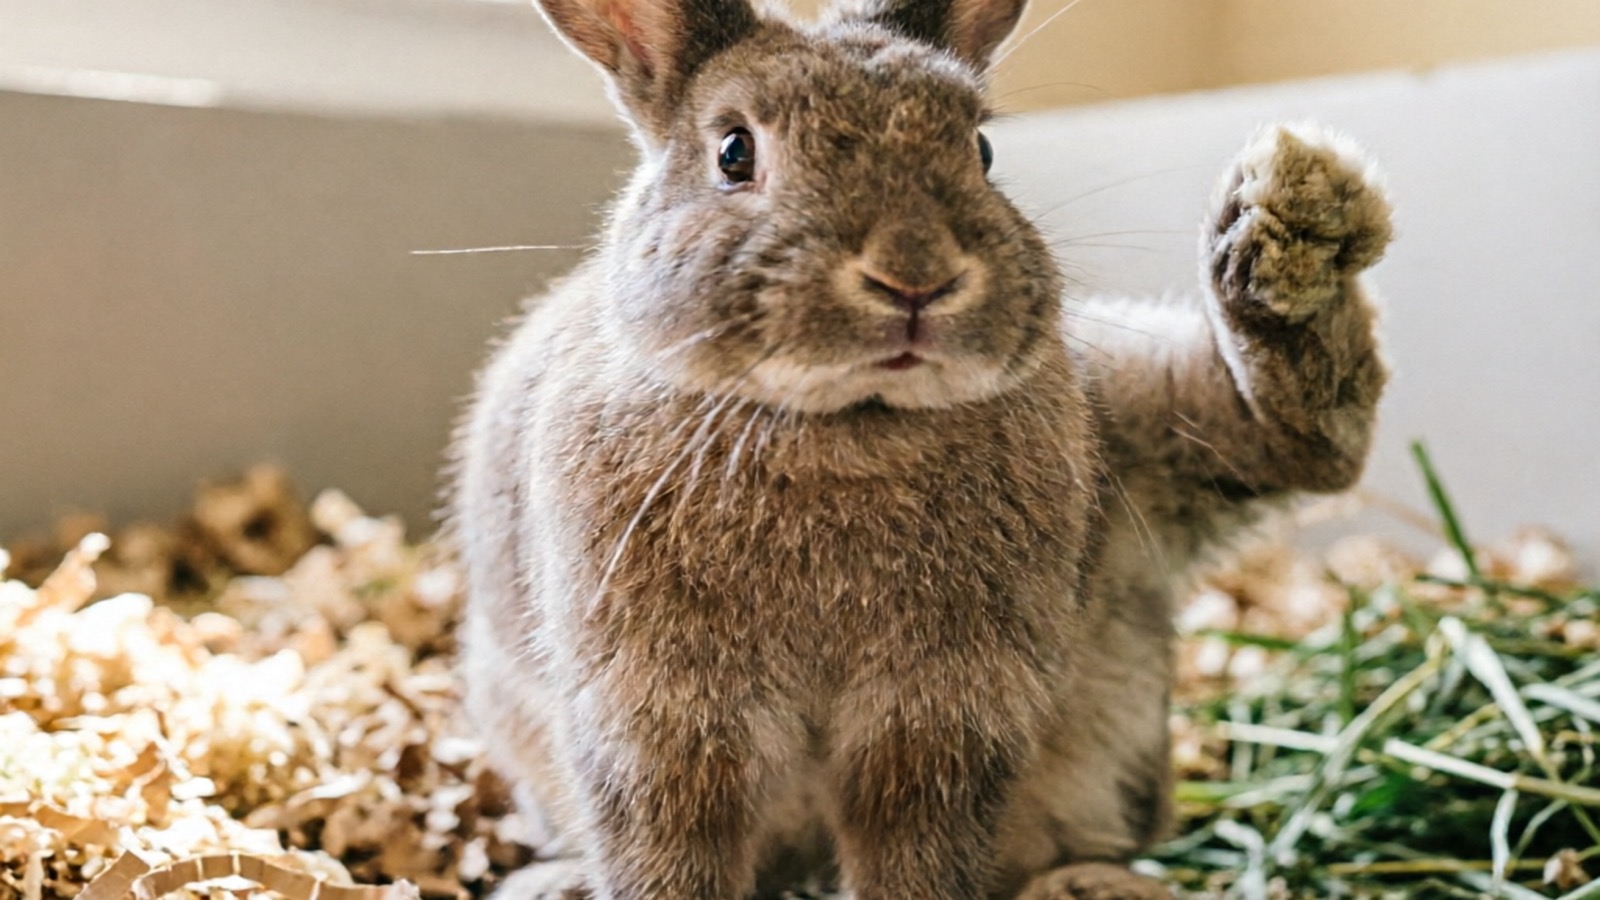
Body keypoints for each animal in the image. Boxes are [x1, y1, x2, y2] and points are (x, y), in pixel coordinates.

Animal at [448, 0, 1393, 896]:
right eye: (733, 153)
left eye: (980, 148)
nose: (915, 274)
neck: (851, 423)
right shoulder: (664, 724)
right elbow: (671, 856)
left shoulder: (937, 720)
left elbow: (914, 852)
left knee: (1296, 442)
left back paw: (1299, 215)